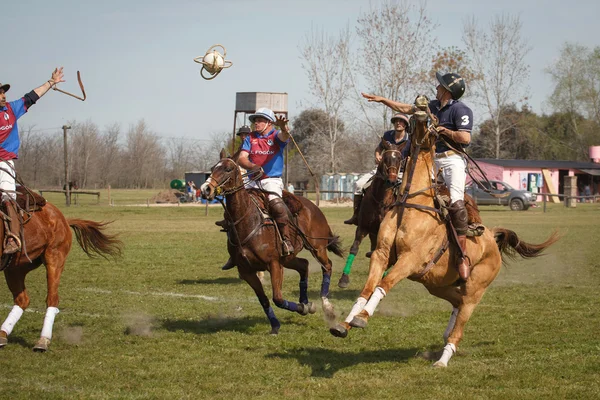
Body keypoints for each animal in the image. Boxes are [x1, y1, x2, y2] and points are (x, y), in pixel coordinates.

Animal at [0, 188, 122, 350]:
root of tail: (64, 218)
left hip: (54, 259)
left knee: (52, 299)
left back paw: (43, 340)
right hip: (15, 267)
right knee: (22, 300)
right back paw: (3, 335)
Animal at [200, 150, 344, 334]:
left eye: (228, 169)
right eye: (212, 168)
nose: (206, 189)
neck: (247, 221)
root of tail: (313, 206)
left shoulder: (274, 264)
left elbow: (278, 298)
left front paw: (302, 308)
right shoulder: (246, 271)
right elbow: (264, 300)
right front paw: (276, 325)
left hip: (317, 247)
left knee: (327, 266)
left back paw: (326, 307)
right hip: (288, 257)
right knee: (304, 265)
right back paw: (306, 301)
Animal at [338, 139, 408, 290]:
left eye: (399, 159)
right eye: (385, 158)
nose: (392, 181)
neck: (382, 200)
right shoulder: (363, 228)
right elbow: (354, 249)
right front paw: (344, 279)